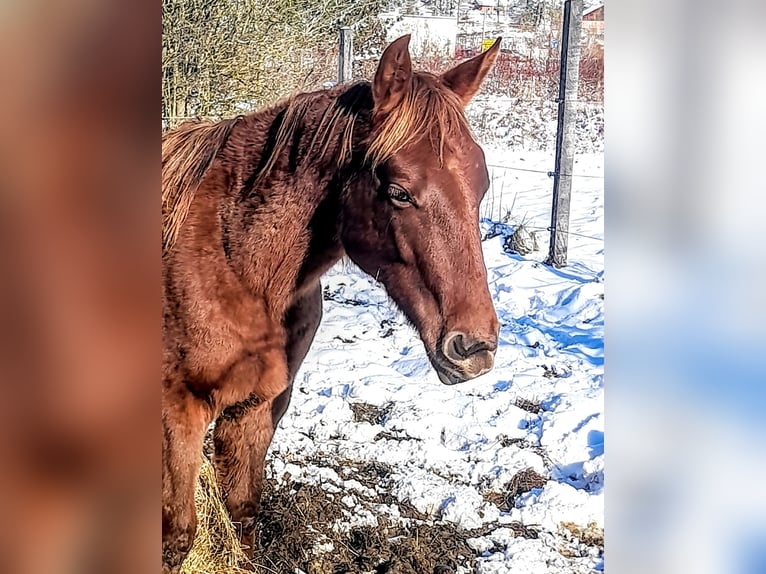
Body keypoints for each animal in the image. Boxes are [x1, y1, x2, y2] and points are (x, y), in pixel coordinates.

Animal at [162, 34, 502, 572]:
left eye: (481, 184)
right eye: (399, 192)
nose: (473, 347)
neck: (233, 260)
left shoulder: (258, 407)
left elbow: (243, 514)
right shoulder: (177, 414)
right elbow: (175, 536)